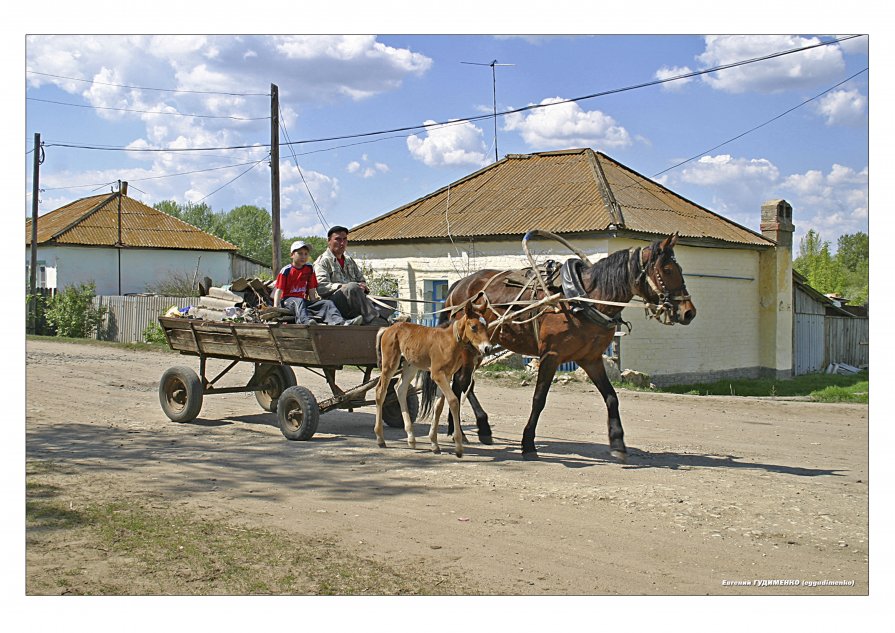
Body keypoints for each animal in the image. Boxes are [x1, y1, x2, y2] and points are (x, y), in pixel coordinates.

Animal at [372, 298, 494, 456]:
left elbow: (439, 406)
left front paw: (434, 444)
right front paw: (458, 446)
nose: (488, 348)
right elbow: (453, 401)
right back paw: (380, 438)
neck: (450, 341)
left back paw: (411, 438)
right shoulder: (437, 374)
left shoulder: (447, 375)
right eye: (473, 327)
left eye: (486, 325)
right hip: (390, 364)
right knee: (380, 391)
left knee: (400, 388)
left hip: (411, 365)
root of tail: (388, 329)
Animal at [440, 232, 700, 460]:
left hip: (480, 347)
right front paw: (528, 443)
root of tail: (460, 284)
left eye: (679, 269)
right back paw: (464, 429)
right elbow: (539, 399)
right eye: (667, 270)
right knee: (462, 382)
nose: (688, 312)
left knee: (462, 383)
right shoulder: (550, 356)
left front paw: (618, 443)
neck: (582, 299)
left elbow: (611, 397)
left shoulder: (591, 359)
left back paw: (467, 429)